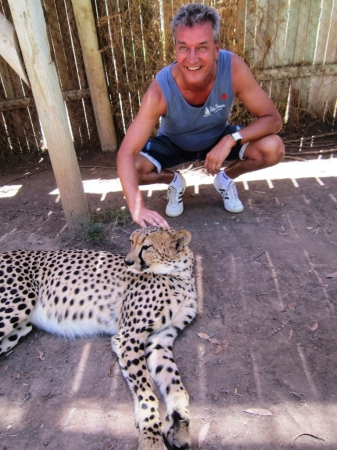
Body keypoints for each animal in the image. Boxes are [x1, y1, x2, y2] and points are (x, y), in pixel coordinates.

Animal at [0, 229, 197, 450]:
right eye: (132, 242)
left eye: (147, 246)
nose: (127, 261)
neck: (179, 275)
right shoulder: (128, 336)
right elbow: (147, 393)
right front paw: (151, 438)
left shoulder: (160, 340)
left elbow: (176, 385)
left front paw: (179, 424)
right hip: (16, 304)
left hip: (20, 327)